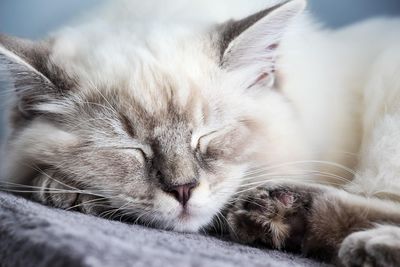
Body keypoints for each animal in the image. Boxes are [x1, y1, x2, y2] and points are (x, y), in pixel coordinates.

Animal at [0, 0, 400, 266]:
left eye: (206, 137)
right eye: (132, 149)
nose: (183, 190)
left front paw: (64, 191)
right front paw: (64, 189)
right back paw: (280, 215)